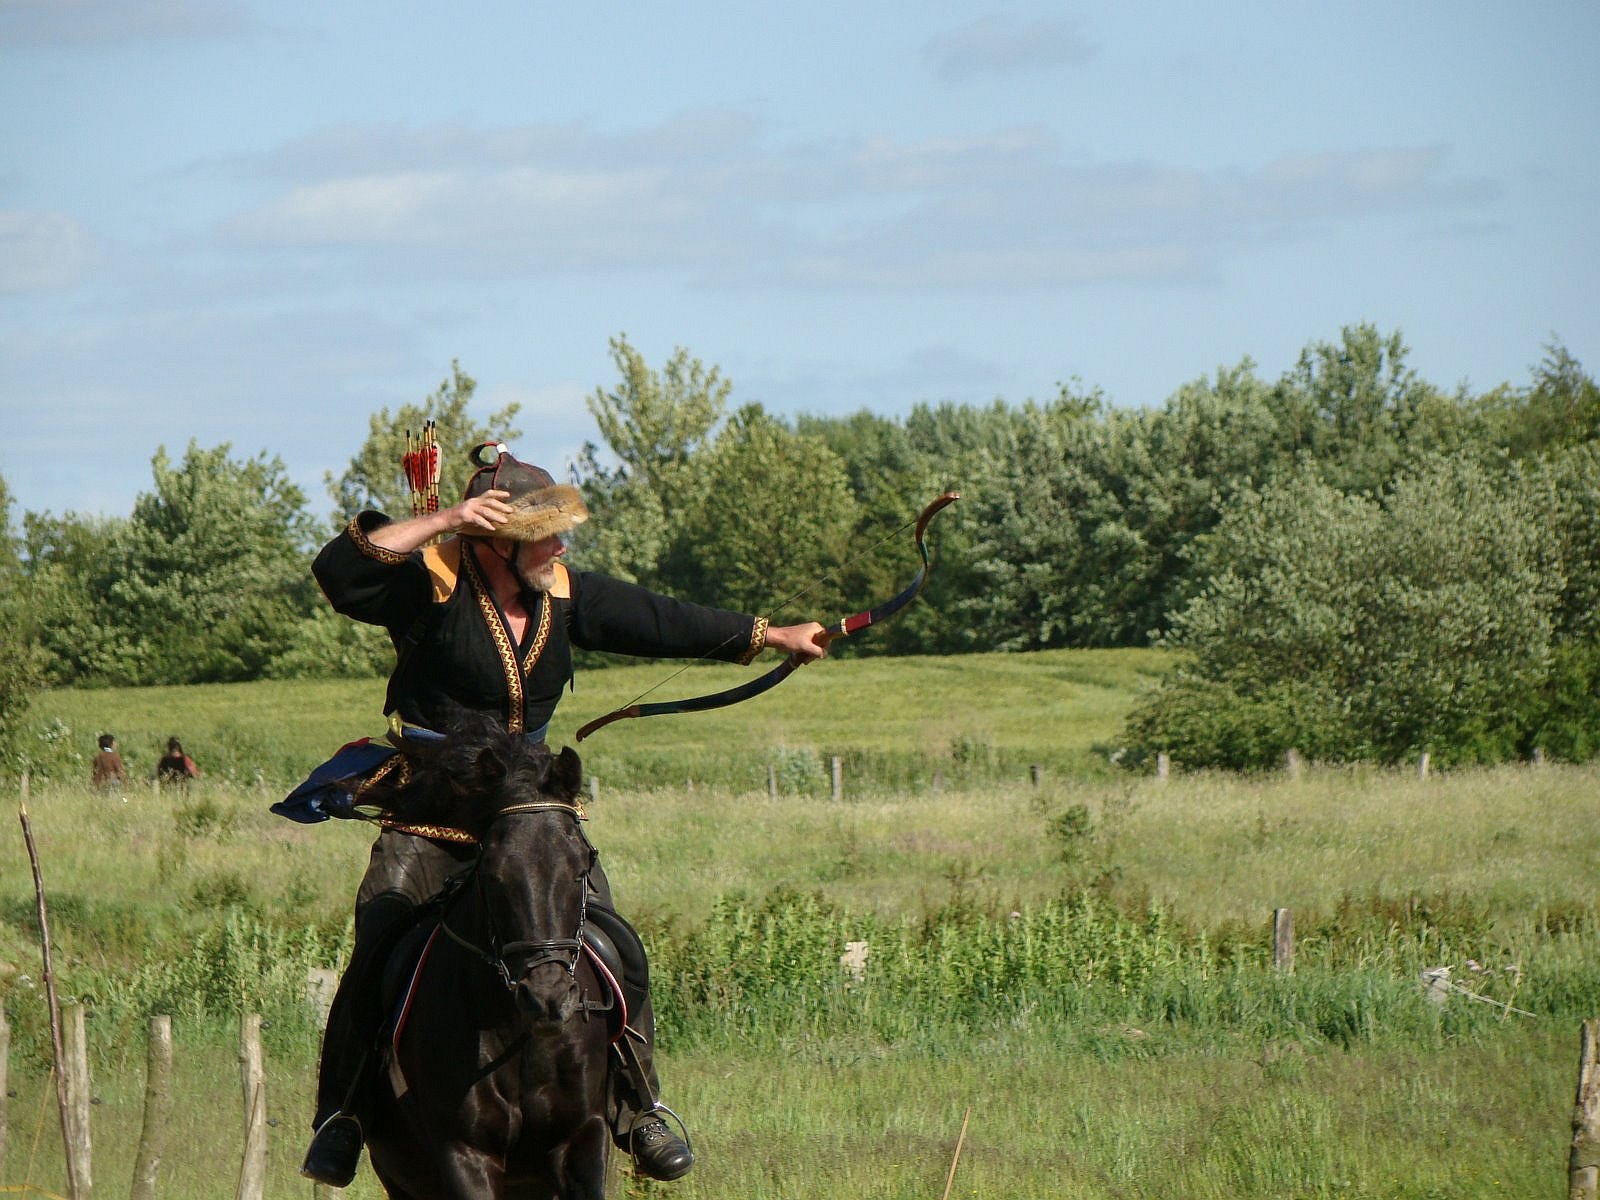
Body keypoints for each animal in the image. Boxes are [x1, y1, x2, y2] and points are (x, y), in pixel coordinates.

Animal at [360, 718, 615, 1200]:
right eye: (494, 874)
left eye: (580, 869)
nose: (547, 999)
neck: (520, 1037)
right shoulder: (464, 1153)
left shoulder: (582, 1138)